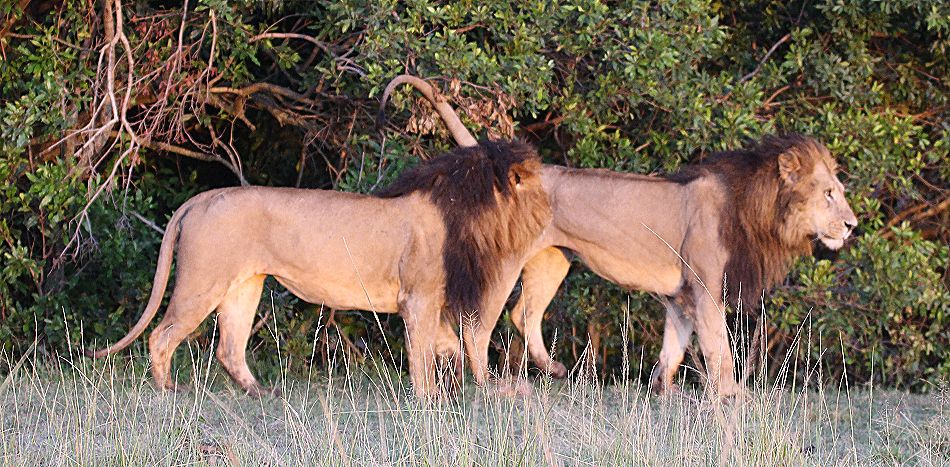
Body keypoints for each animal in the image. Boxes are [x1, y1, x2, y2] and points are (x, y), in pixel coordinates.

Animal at [90, 116, 556, 394]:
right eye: (536, 186)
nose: (552, 209)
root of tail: (202, 197)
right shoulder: (418, 298)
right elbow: (422, 358)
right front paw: (428, 403)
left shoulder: (432, 304)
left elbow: (448, 348)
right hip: (201, 282)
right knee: (161, 335)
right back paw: (168, 392)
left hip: (245, 284)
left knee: (229, 347)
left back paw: (261, 393)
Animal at [384, 75, 856, 396]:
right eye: (829, 194)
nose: (852, 225)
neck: (758, 209)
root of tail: (519, 171)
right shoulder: (705, 289)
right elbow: (719, 350)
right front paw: (732, 397)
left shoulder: (681, 297)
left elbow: (674, 348)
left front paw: (663, 390)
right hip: (503, 263)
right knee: (476, 327)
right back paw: (492, 388)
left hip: (553, 260)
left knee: (523, 315)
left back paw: (553, 370)